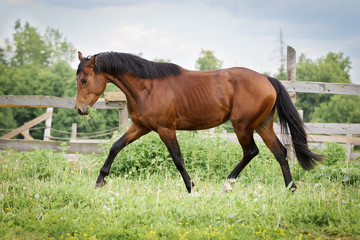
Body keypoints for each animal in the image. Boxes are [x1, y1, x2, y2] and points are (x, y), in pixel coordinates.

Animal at [74, 50, 322, 193]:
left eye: (84, 79)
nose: (79, 109)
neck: (147, 86)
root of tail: (267, 79)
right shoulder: (141, 127)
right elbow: (115, 147)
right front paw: (100, 181)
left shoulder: (166, 129)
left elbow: (178, 158)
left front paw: (191, 187)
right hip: (262, 125)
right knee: (279, 151)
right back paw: (290, 188)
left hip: (242, 126)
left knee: (251, 151)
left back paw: (228, 183)